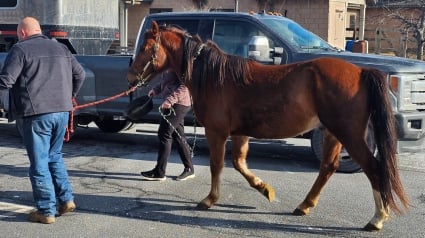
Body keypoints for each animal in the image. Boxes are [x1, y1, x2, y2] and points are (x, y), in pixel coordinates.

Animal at [127, 21, 410, 231]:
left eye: (146, 47)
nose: (130, 76)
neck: (214, 76)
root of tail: (361, 72)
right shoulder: (240, 133)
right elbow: (239, 163)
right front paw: (265, 190)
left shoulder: (217, 132)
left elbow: (217, 165)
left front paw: (210, 199)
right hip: (333, 133)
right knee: (328, 168)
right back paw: (305, 205)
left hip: (349, 134)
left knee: (373, 168)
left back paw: (377, 218)